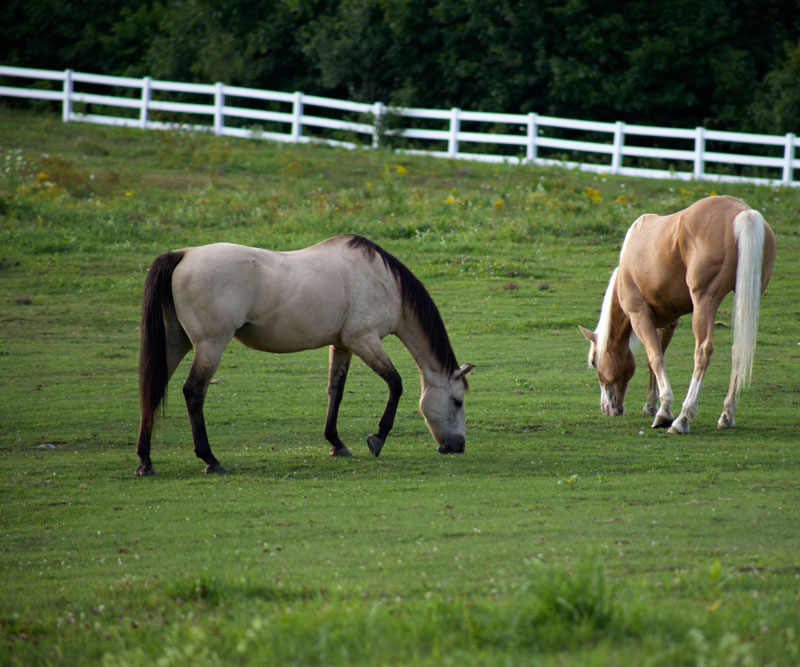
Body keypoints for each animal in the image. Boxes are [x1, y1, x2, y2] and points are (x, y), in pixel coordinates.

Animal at [135, 234, 473, 475]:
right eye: (457, 401)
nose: (458, 446)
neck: (382, 280)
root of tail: (184, 254)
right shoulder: (364, 340)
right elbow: (396, 383)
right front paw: (377, 438)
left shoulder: (342, 345)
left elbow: (335, 391)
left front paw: (336, 443)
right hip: (210, 344)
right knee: (193, 392)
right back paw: (210, 459)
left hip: (176, 343)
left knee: (151, 390)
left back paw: (145, 462)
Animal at [580, 195, 776, 434]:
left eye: (594, 362)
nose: (608, 408)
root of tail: (743, 212)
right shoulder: (668, 322)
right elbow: (654, 359)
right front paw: (650, 406)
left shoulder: (640, 317)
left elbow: (655, 358)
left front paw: (664, 412)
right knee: (738, 349)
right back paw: (726, 415)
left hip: (704, 302)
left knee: (702, 351)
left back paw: (683, 418)